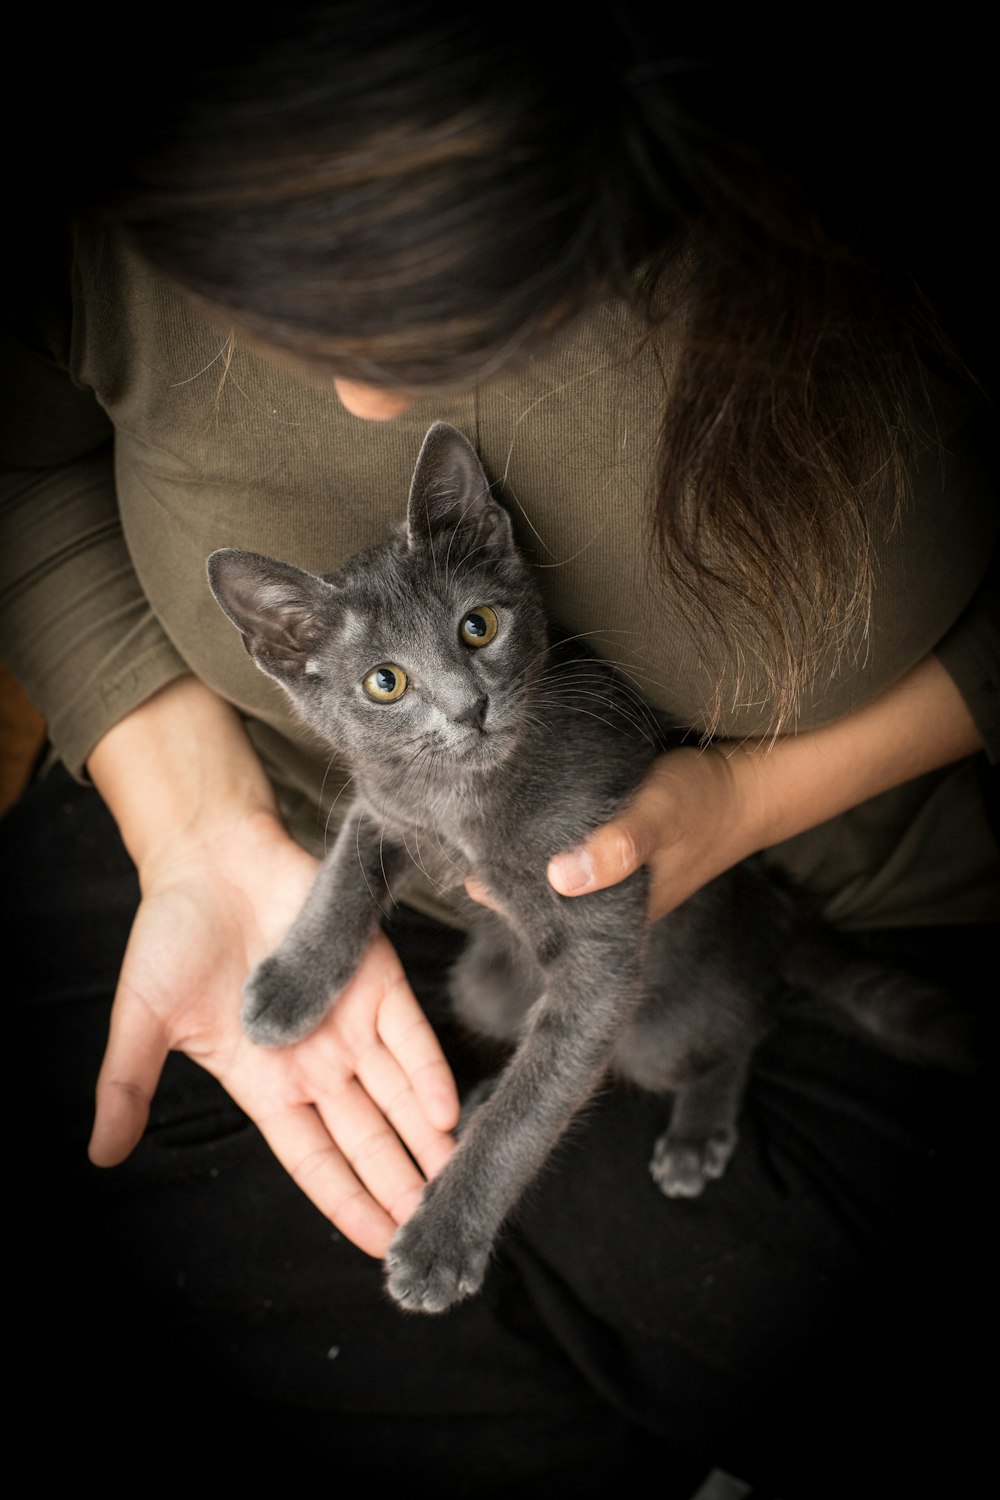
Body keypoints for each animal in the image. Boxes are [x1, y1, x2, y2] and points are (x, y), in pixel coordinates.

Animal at [206, 420, 965, 1314]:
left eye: (478, 627)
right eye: (384, 683)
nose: (469, 708)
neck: (466, 805)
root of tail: (777, 919)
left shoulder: (601, 939)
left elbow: (538, 1102)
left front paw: (441, 1242)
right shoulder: (387, 805)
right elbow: (344, 873)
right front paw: (289, 987)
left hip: (667, 1022)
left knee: (739, 1032)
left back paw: (696, 1131)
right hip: (486, 984)